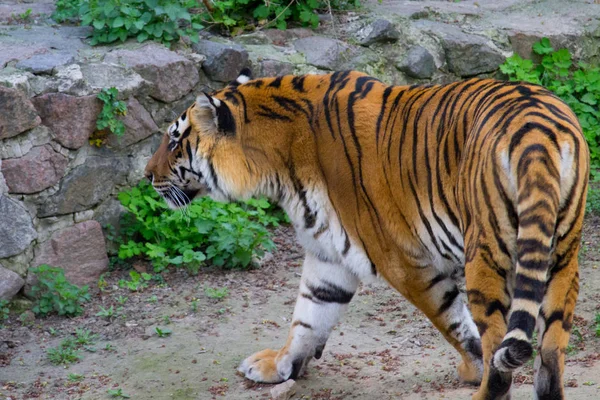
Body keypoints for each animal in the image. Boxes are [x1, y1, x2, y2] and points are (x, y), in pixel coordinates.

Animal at [146, 69, 592, 400]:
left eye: (174, 139)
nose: (147, 175)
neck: (278, 158)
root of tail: (536, 131)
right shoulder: (329, 255)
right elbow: (308, 314)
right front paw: (279, 365)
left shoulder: (403, 260)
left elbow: (455, 323)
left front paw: (474, 367)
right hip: (561, 255)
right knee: (550, 352)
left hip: (485, 253)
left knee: (499, 345)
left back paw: (485, 386)